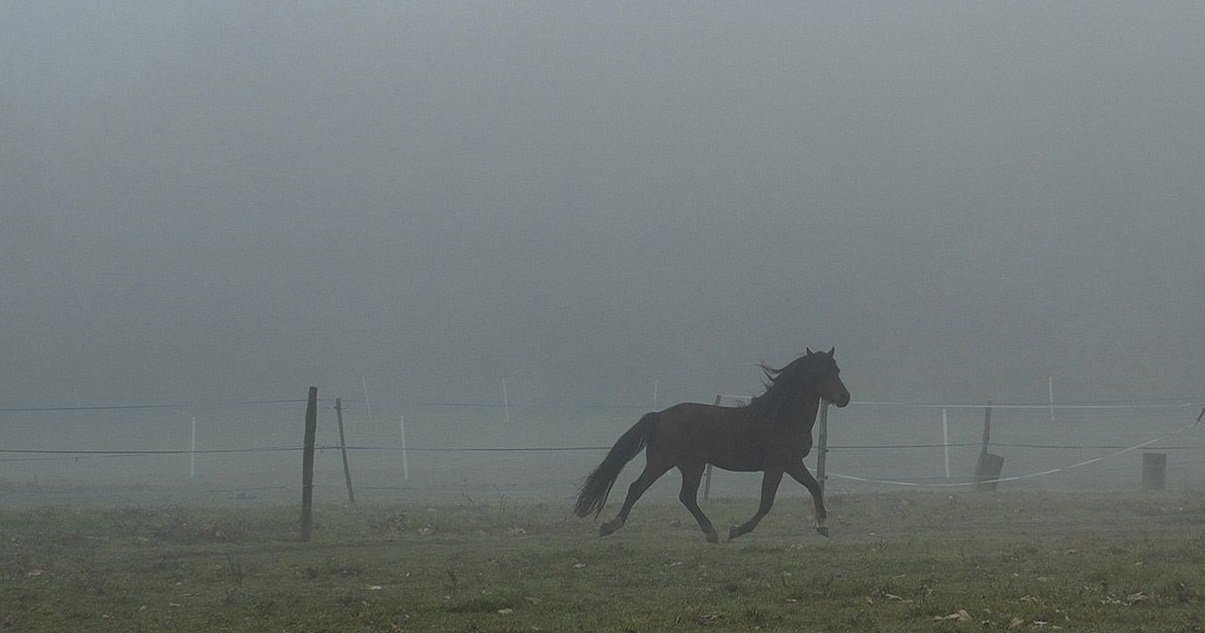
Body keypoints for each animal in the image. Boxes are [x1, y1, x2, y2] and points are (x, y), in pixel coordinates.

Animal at [571, 347, 848, 540]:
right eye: (819, 372)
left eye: (836, 370)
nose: (845, 398)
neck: (780, 417)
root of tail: (660, 415)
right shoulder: (777, 465)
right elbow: (766, 503)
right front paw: (736, 531)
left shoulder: (792, 463)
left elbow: (814, 487)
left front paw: (823, 526)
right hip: (688, 465)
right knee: (680, 495)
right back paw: (710, 532)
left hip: (665, 462)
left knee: (640, 488)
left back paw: (611, 526)